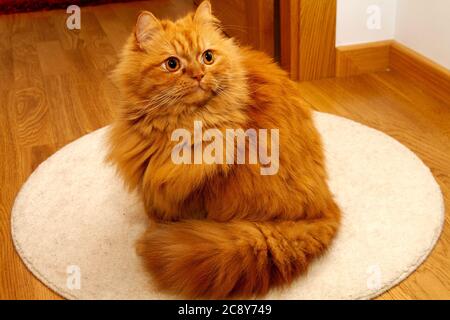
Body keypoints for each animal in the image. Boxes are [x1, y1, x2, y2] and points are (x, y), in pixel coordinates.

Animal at [109, 1, 342, 298]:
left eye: (208, 57)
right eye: (172, 64)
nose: (199, 75)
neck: (178, 124)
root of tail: (326, 207)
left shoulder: (194, 186)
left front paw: (158, 231)